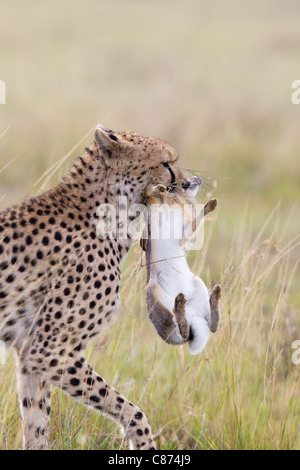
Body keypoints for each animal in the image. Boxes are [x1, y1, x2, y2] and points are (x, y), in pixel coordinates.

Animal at [0, 125, 192, 452]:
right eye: (166, 164)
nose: (188, 182)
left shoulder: (30, 354)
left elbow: (36, 425)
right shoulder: (51, 350)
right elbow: (132, 411)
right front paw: (143, 443)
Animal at [141, 179, 220, 352]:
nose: (196, 179)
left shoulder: (184, 233)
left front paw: (211, 204)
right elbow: (150, 197)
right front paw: (159, 189)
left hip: (198, 284)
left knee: (209, 327)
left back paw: (212, 295)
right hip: (153, 291)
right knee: (184, 332)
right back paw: (180, 304)